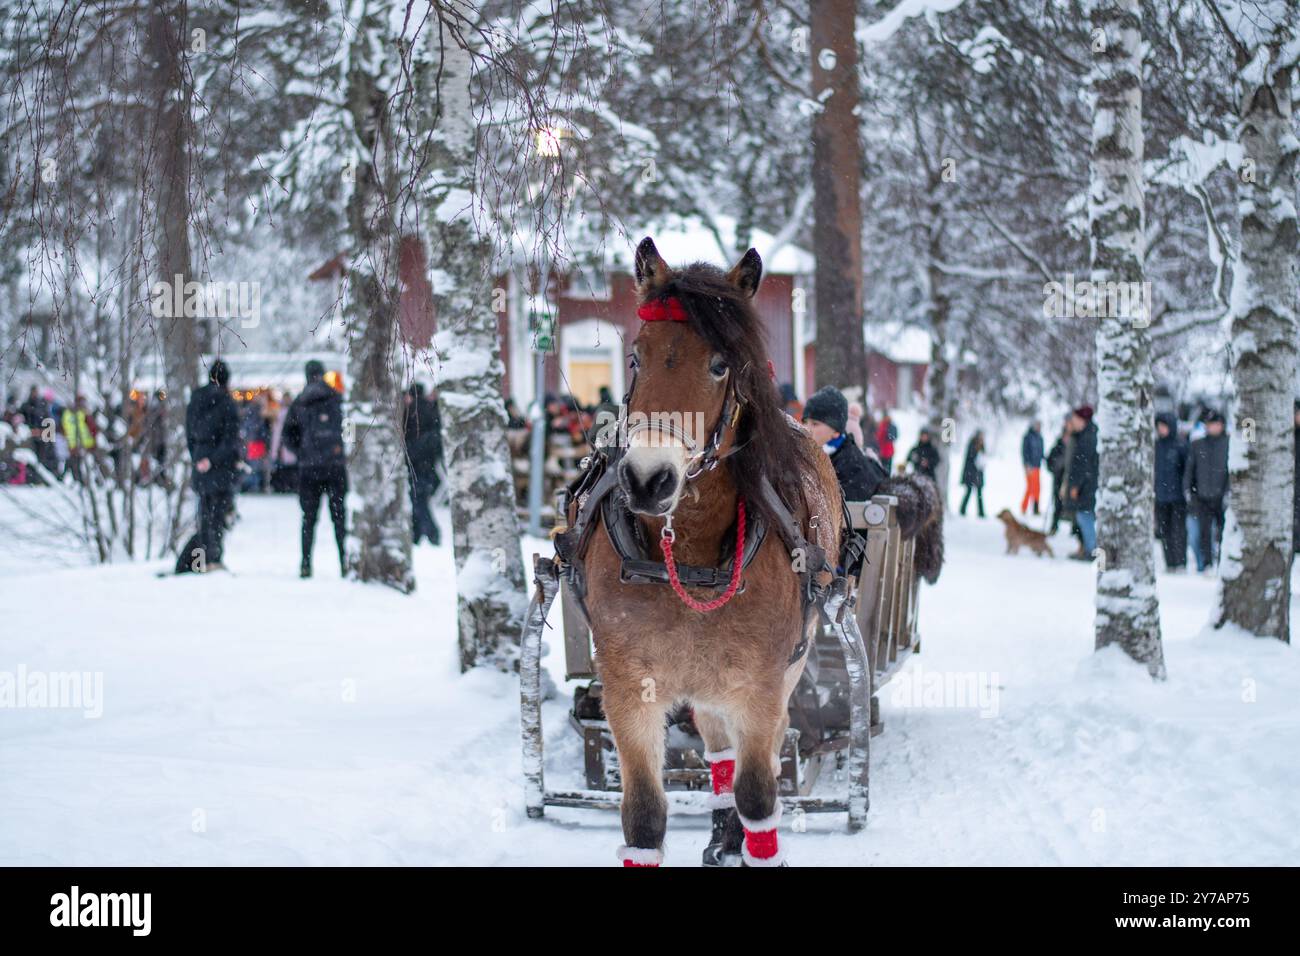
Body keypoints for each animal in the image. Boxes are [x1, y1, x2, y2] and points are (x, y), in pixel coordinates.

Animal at [577, 239, 842, 868]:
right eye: (636, 359)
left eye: (721, 364)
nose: (648, 480)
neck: (689, 551)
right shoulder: (628, 685)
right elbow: (644, 817)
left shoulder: (762, 683)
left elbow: (758, 794)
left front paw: (757, 842)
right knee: (718, 749)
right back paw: (723, 834)